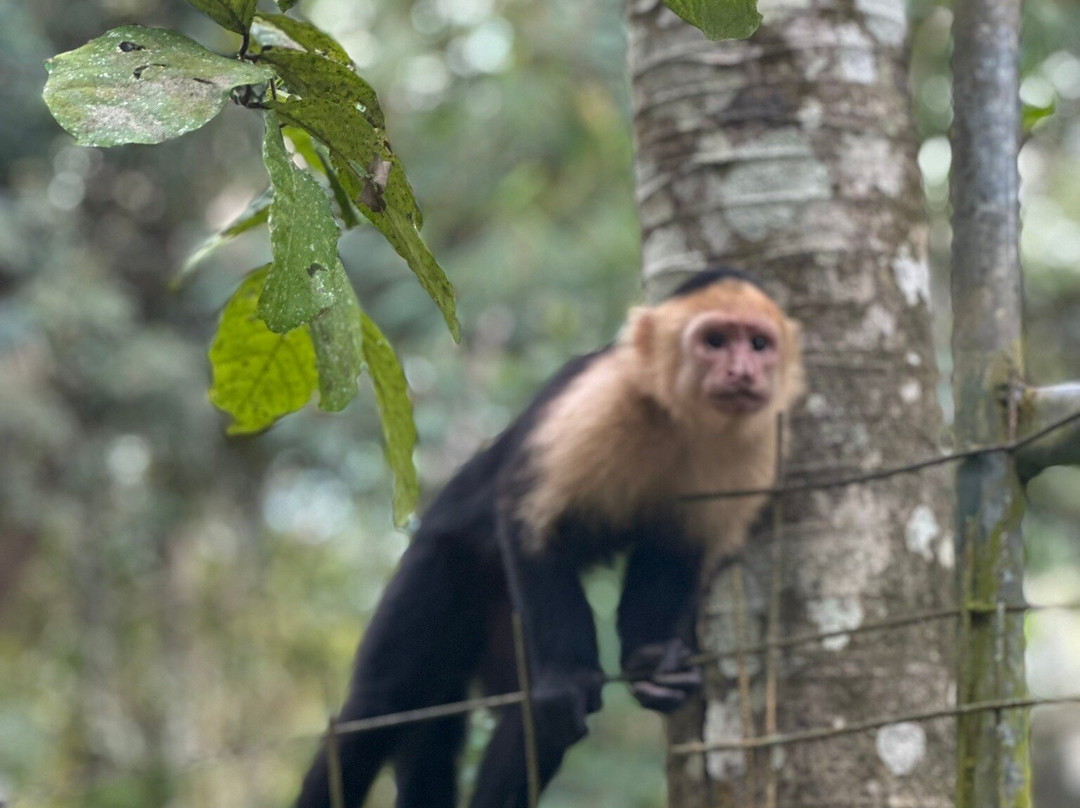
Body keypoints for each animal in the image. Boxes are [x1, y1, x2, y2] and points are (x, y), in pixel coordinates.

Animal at [294, 267, 804, 808]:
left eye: (758, 344)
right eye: (715, 341)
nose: (743, 371)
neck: (678, 418)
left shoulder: (757, 449)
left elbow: (677, 550)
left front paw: (651, 665)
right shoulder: (600, 397)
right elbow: (528, 519)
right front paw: (567, 676)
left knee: (526, 717)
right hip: (442, 562)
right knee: (379, 707)